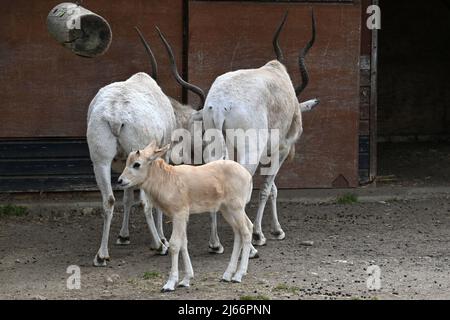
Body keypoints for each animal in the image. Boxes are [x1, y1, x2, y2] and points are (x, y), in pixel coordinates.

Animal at [86, 27, 206, 266]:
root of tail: (115, 114)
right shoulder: (160, 158)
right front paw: (162, 238)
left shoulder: (128, 166)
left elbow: (127, 197)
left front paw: (123, 236)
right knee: (145, 203)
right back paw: (158, 245)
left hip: (100, 161)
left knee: (109, 200)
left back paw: (102, 255)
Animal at [118, 141, 255, 292]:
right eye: (127, 162)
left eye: (136, 164)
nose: (120, 181)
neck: (168, 179)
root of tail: (247, 176)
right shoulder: (180, 217)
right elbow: (183, 243)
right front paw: (186, 280)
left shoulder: (179, 214)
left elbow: (174, 244)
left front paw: (170, 284)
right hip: (227, 210)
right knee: (241, 231)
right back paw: (227, 275)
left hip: (236, 208)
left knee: (246, 232)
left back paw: (238, 275)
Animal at [204, 11, 320, 255]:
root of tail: (220, 105)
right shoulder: (281, 149)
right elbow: (267, 188)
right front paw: (261, 234)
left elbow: (273, 188)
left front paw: (276, 230)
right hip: (250, 154)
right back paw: (250, 247)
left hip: (216, 148)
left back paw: (215, 244)